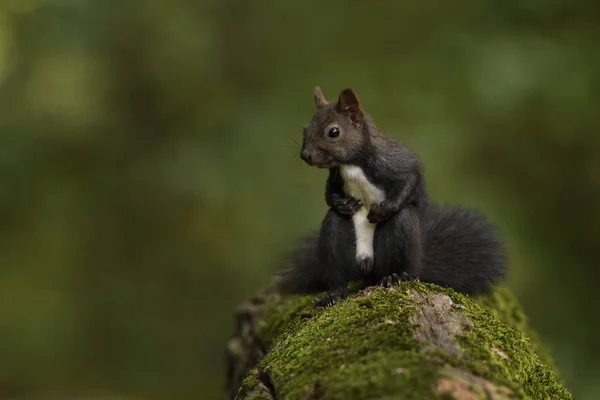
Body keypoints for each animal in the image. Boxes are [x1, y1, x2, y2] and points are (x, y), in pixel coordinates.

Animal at [276, 86, 506, 306]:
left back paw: (396, 276)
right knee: (336, 252)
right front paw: (343, 204)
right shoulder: (335, 176)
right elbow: (328, 194)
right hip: (339, 245)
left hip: (399, 243)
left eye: (333, 132)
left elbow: (409, 179)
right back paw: (333, 293)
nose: (305, 155)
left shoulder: (393, 162)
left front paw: (384, 210)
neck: (351, 163)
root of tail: (367, 265)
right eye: (305, 128)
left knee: (400, 257)